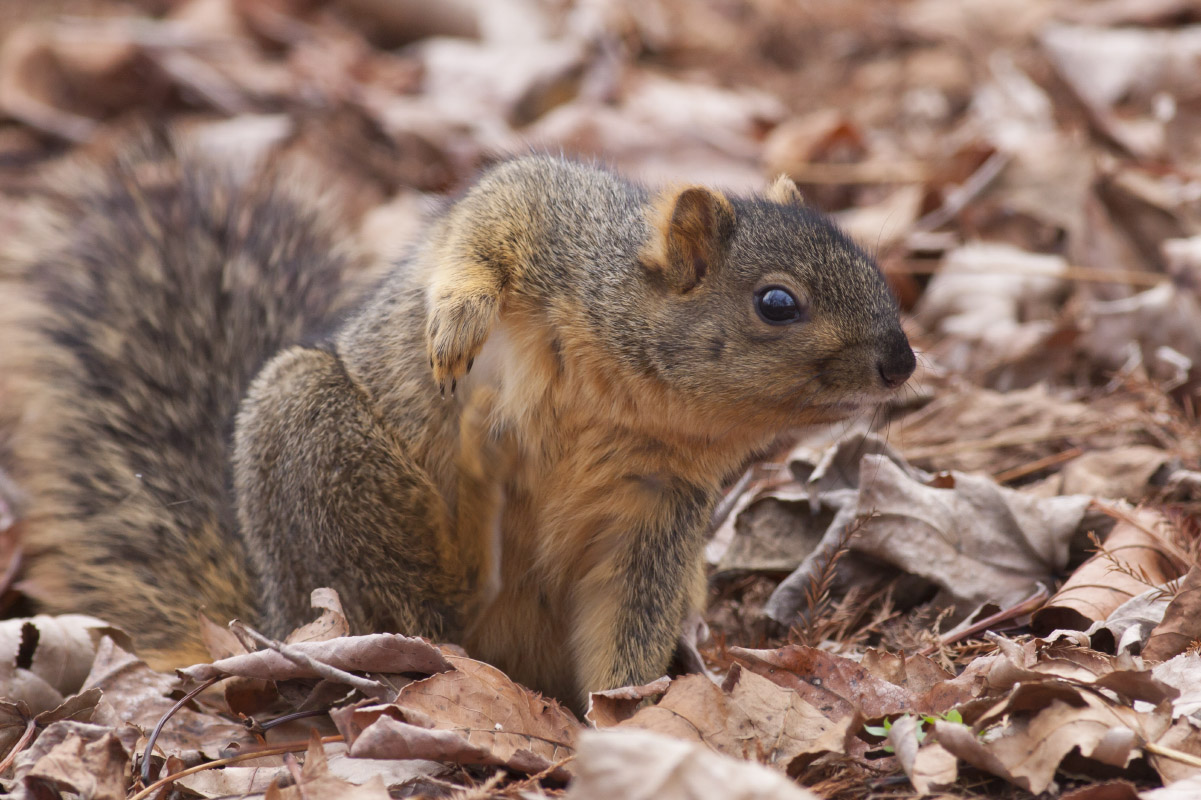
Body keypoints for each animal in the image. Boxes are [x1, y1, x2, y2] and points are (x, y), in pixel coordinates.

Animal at [0, 129, 907, 706]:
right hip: (321, 454)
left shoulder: (655, 511)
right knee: (394, 590)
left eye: (872, 264)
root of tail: (267, 608)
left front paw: (626, 712)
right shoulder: (552, 217)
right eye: (777, 303)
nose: (901, 362)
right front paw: (456, 321)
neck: (633, 398)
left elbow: (625, 618)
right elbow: (486, 219)